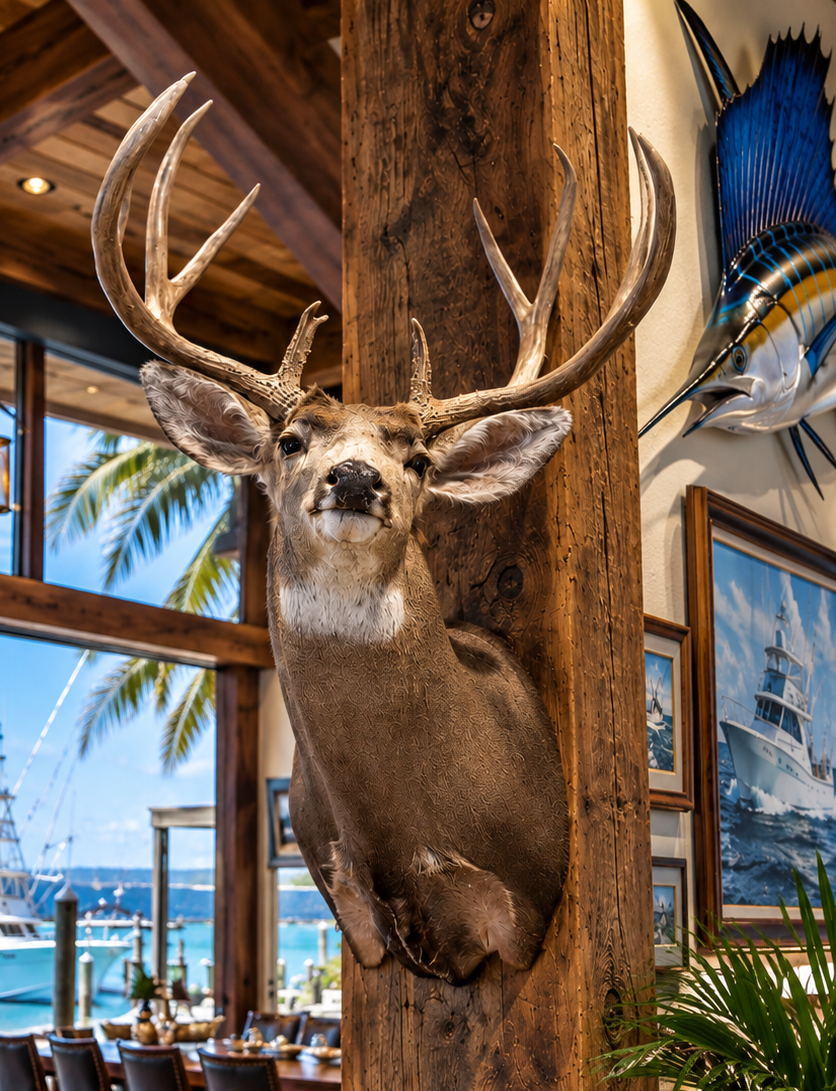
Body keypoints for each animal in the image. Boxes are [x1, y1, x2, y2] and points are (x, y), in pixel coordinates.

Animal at [91, 75, 675, 984]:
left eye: (421, 459)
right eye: (291, 441)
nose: (357, 477)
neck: (413, 833)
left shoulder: (528, 907)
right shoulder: (351, 904)